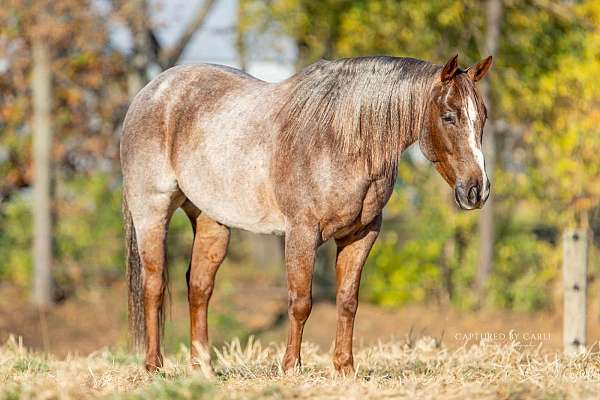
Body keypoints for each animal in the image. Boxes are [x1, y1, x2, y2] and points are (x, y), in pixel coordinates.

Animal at [120, 53, 492, 376]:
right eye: (449, 116)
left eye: (483, 117)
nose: (478, 190)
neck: (340, 141)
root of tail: (153, 90)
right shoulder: (302, 233)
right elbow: (300, 302)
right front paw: (290, 368)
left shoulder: (361, 234)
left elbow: (348, 301)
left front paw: (344, 368)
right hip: (152, 211)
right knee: (154, 284)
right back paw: (153, 367)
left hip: (211, 220)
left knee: (199, 287)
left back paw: (203, 369)